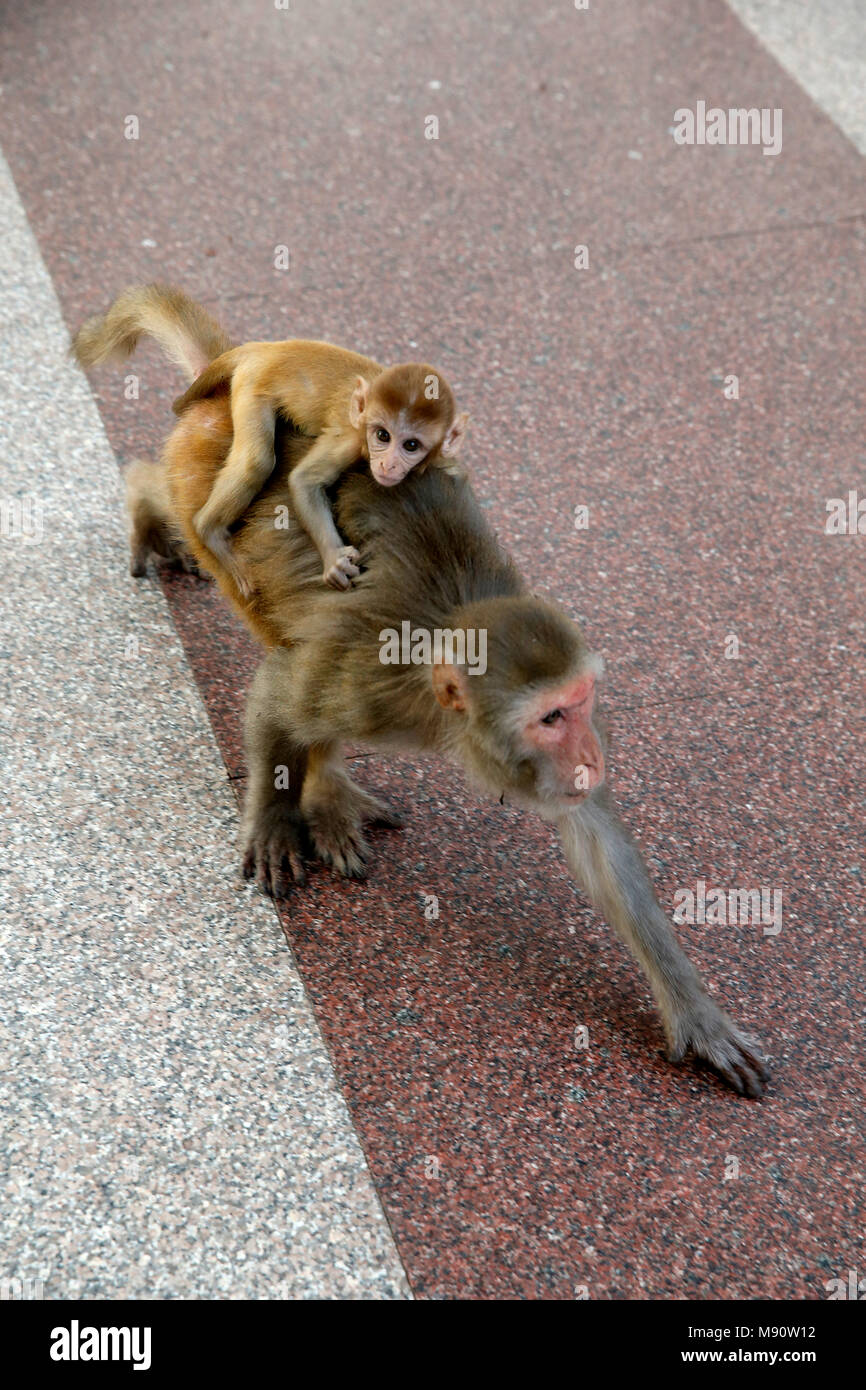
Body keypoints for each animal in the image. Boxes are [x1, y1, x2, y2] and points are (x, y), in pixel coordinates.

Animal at [173, 343, 469, 597]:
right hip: (252, 385)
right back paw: (209, 530)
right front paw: (334, 559)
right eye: (383, 436)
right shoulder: (350, 438)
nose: (388, 464)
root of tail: (268, 347)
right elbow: (304, 480)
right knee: (256, 462)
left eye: (411, 445)